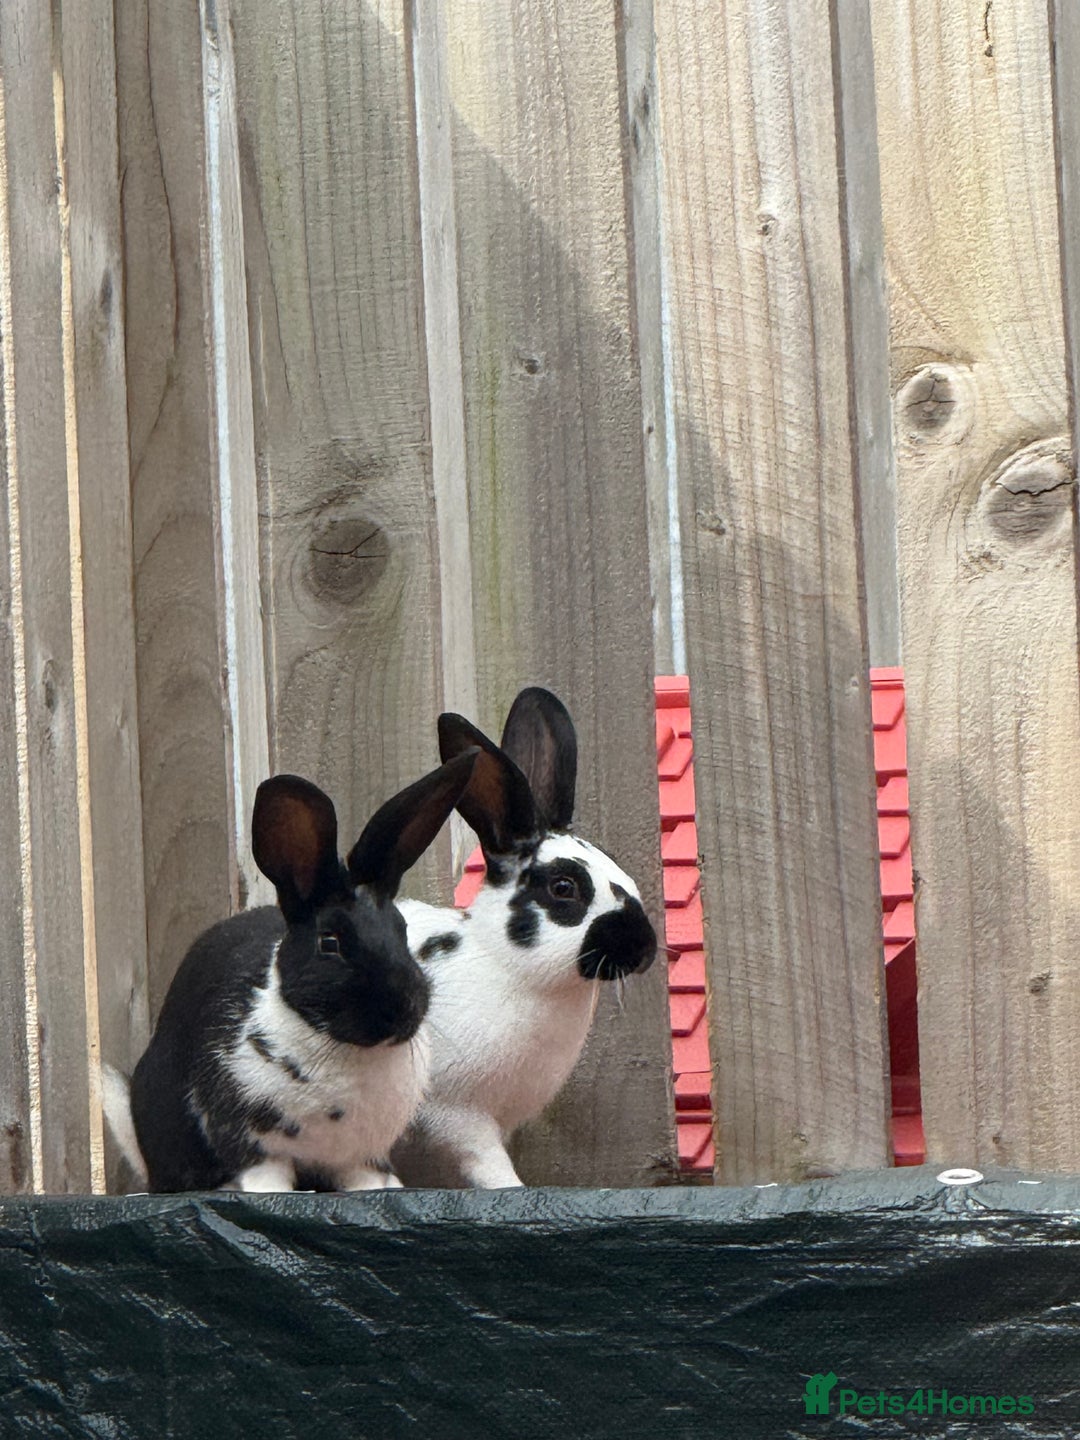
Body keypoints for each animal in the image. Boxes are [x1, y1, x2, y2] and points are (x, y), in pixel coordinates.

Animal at [124, 749, 478, 1194]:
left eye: (401, 930)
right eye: (330, 942)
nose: (402, 1010)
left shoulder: (359, 1155)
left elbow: (362, 1176)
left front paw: (378, 1189)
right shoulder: (251, 1137)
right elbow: (264, 1171)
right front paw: (271, 1192)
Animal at [390, 687, 658, 1188]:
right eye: (564, 888)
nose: (645, 949)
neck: (504, 965)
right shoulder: (458, 1114)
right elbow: (484, 1160)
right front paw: (511, 1187)